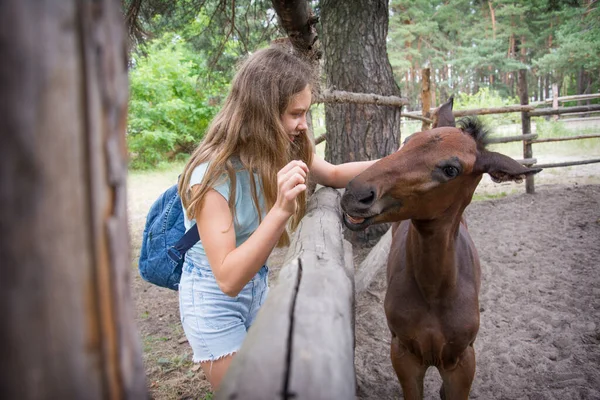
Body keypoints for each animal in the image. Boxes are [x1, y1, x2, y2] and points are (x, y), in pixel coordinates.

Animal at [340, 98, 540, 398]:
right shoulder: (404, 354)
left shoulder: (462, 362)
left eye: (451, 170)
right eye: (407, 141)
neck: (434, 293)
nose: (356, 194)